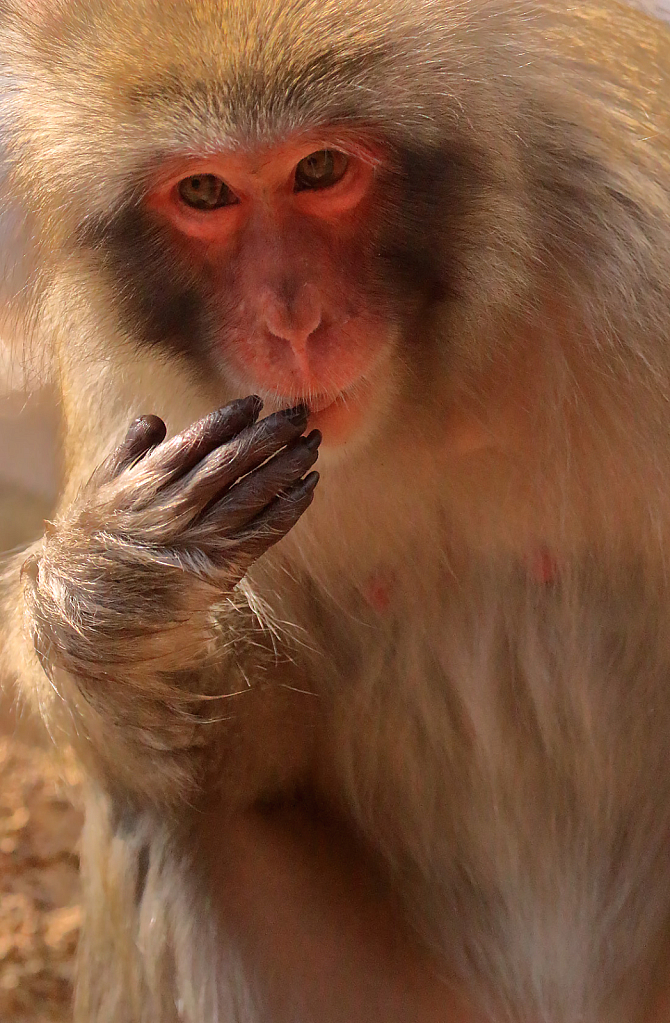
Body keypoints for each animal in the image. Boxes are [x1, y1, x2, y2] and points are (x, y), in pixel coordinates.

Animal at [1, 1, 670, 1023]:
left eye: (319, 170)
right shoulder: (134, 380)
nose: (293, 325)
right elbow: (224, 759)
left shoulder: (644, 257)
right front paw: (111, 592)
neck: (444, 366)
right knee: (167, 819)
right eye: (204, 191)